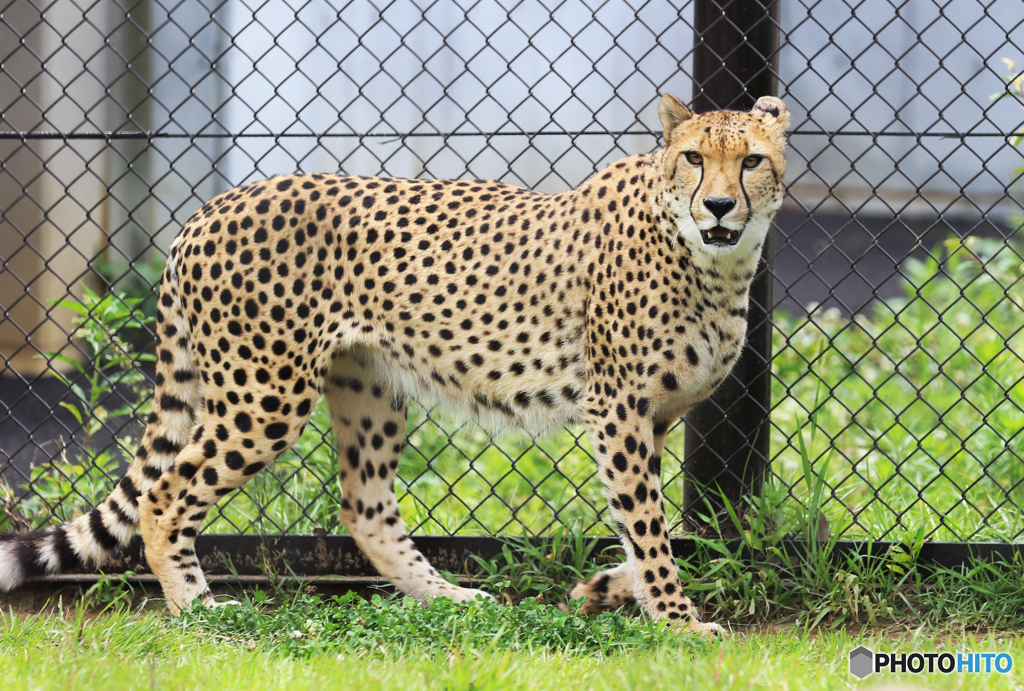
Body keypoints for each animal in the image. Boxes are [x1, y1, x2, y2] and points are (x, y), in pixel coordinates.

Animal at [0, 95, 790, 638]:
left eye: (752, 160)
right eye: (694, 158)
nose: (721, 204)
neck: (713, 260)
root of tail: (210, 205)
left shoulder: (652, 417)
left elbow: (642, 519)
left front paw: (609, 590)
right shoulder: (619, 407)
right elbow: (649, 524)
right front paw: (679, 620)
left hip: (369, 385)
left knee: (364, 506)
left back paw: (452, 600)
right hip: (263, 396)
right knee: (168, 492)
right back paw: (197, 606)